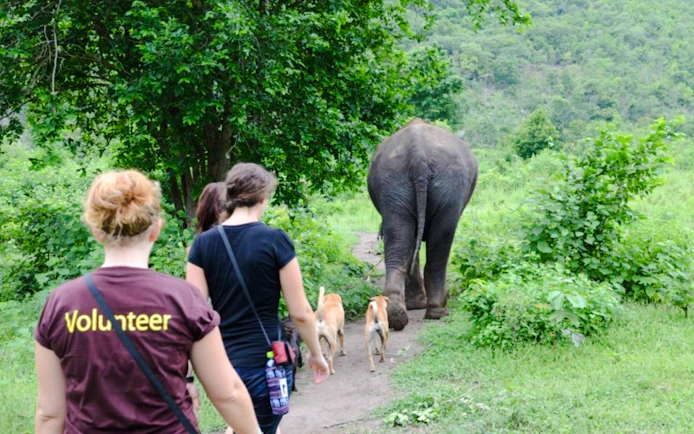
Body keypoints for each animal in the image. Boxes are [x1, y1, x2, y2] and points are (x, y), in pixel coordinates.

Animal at [367, 118, 478, 331]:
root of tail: (419, 158)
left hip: (396, 183)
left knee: (401, 237)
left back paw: (396, 315)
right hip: (445, 185)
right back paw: (437, 312)